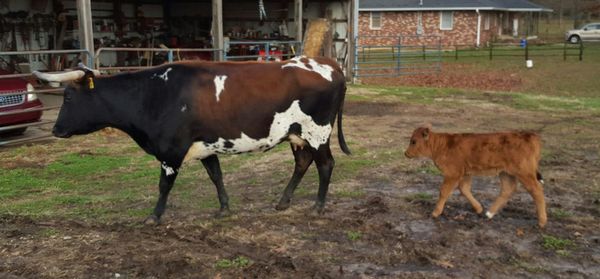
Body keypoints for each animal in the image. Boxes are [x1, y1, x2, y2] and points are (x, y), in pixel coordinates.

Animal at [404, 126, 548, 229]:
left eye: (414, 141)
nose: (406, 153)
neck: (440, 146)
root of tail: (531, 135)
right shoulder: (466, 173)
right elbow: (464, 189)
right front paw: (478, 208)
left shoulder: (453, 173)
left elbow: (444, 191)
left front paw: (435, 213)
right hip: (505, 173)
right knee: (508, 189)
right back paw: (489, 213)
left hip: (525, 172)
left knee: (536, 190)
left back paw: (542, 222)